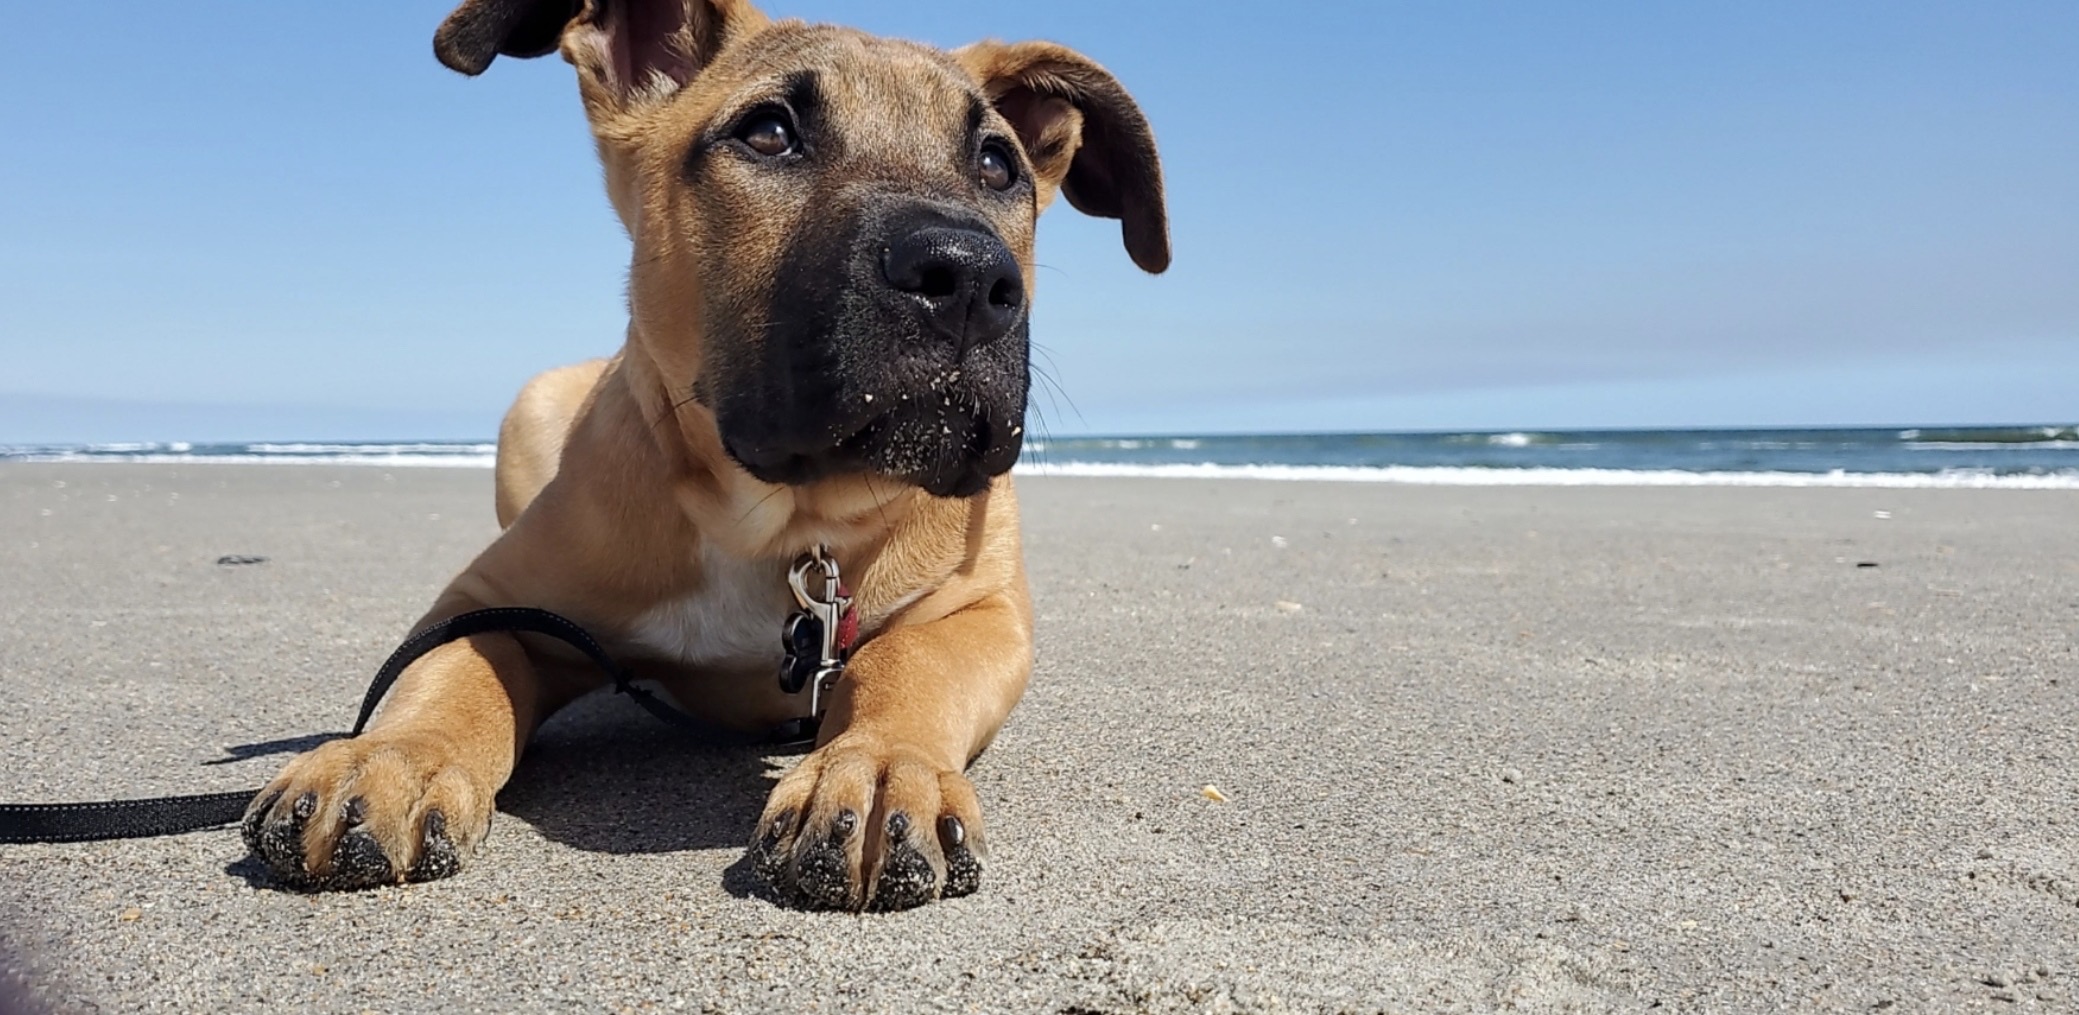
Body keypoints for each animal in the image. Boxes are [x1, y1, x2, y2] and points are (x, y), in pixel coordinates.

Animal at [239, 0, 1172, 915]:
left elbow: (909, 660)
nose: (971, 279)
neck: (781, 521)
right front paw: (388, 756)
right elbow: (454, 667)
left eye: (996, 163)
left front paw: (875, 770)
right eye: (768, 132)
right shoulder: (487, 599)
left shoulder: (982, 611)